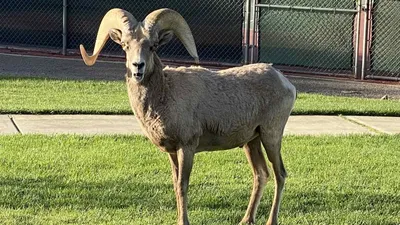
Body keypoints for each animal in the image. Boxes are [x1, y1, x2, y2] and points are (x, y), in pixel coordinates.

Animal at [79, 7, 296, 224]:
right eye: (125, 45)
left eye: (153, 46)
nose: (137, 67)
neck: (165, 93)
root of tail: (286, 83)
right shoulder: (172, 152)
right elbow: (176, 185)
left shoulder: (187, 147)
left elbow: (183, 186)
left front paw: (184, 221)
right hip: (251, 142)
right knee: (261, 174)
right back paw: (246, 220)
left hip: (271, 136)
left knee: (280, 174)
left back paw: (271, 220)